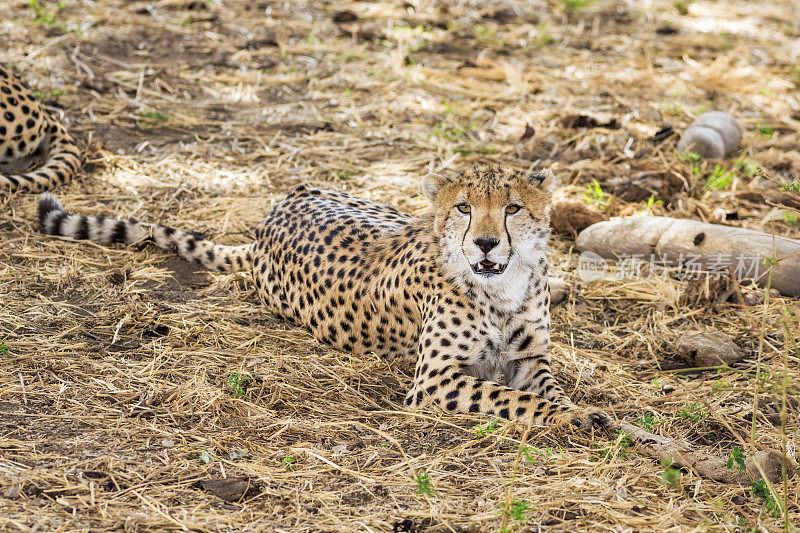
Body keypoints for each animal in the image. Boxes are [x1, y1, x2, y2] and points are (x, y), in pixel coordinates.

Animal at [37, 166, 608, 428]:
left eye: (512, 208)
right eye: (464, 208)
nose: (486, 243)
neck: (502, 287)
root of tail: (271, 219)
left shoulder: (530, 358)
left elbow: (547, 390)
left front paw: (580, 411)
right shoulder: (434, 381)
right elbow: (516, 399)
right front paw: (574, 417)